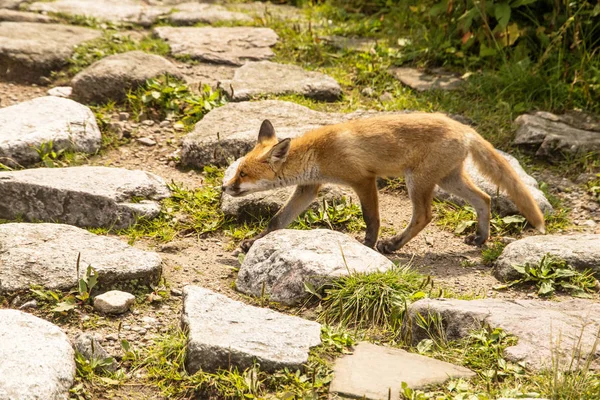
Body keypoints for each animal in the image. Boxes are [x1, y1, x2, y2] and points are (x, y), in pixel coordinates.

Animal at [223, 112, 548, 253]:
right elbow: (277, 221)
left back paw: (392, 245)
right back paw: (480, 238)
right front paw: (254, 242)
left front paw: (368, 244)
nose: (224, 188)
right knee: (485, 198)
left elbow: (372, 218)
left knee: (424, 216)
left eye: (243, 174)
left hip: (418, 181)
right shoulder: (308, 188)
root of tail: (465, 128)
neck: (318, 153)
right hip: (448, 179)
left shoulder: (364, 179)